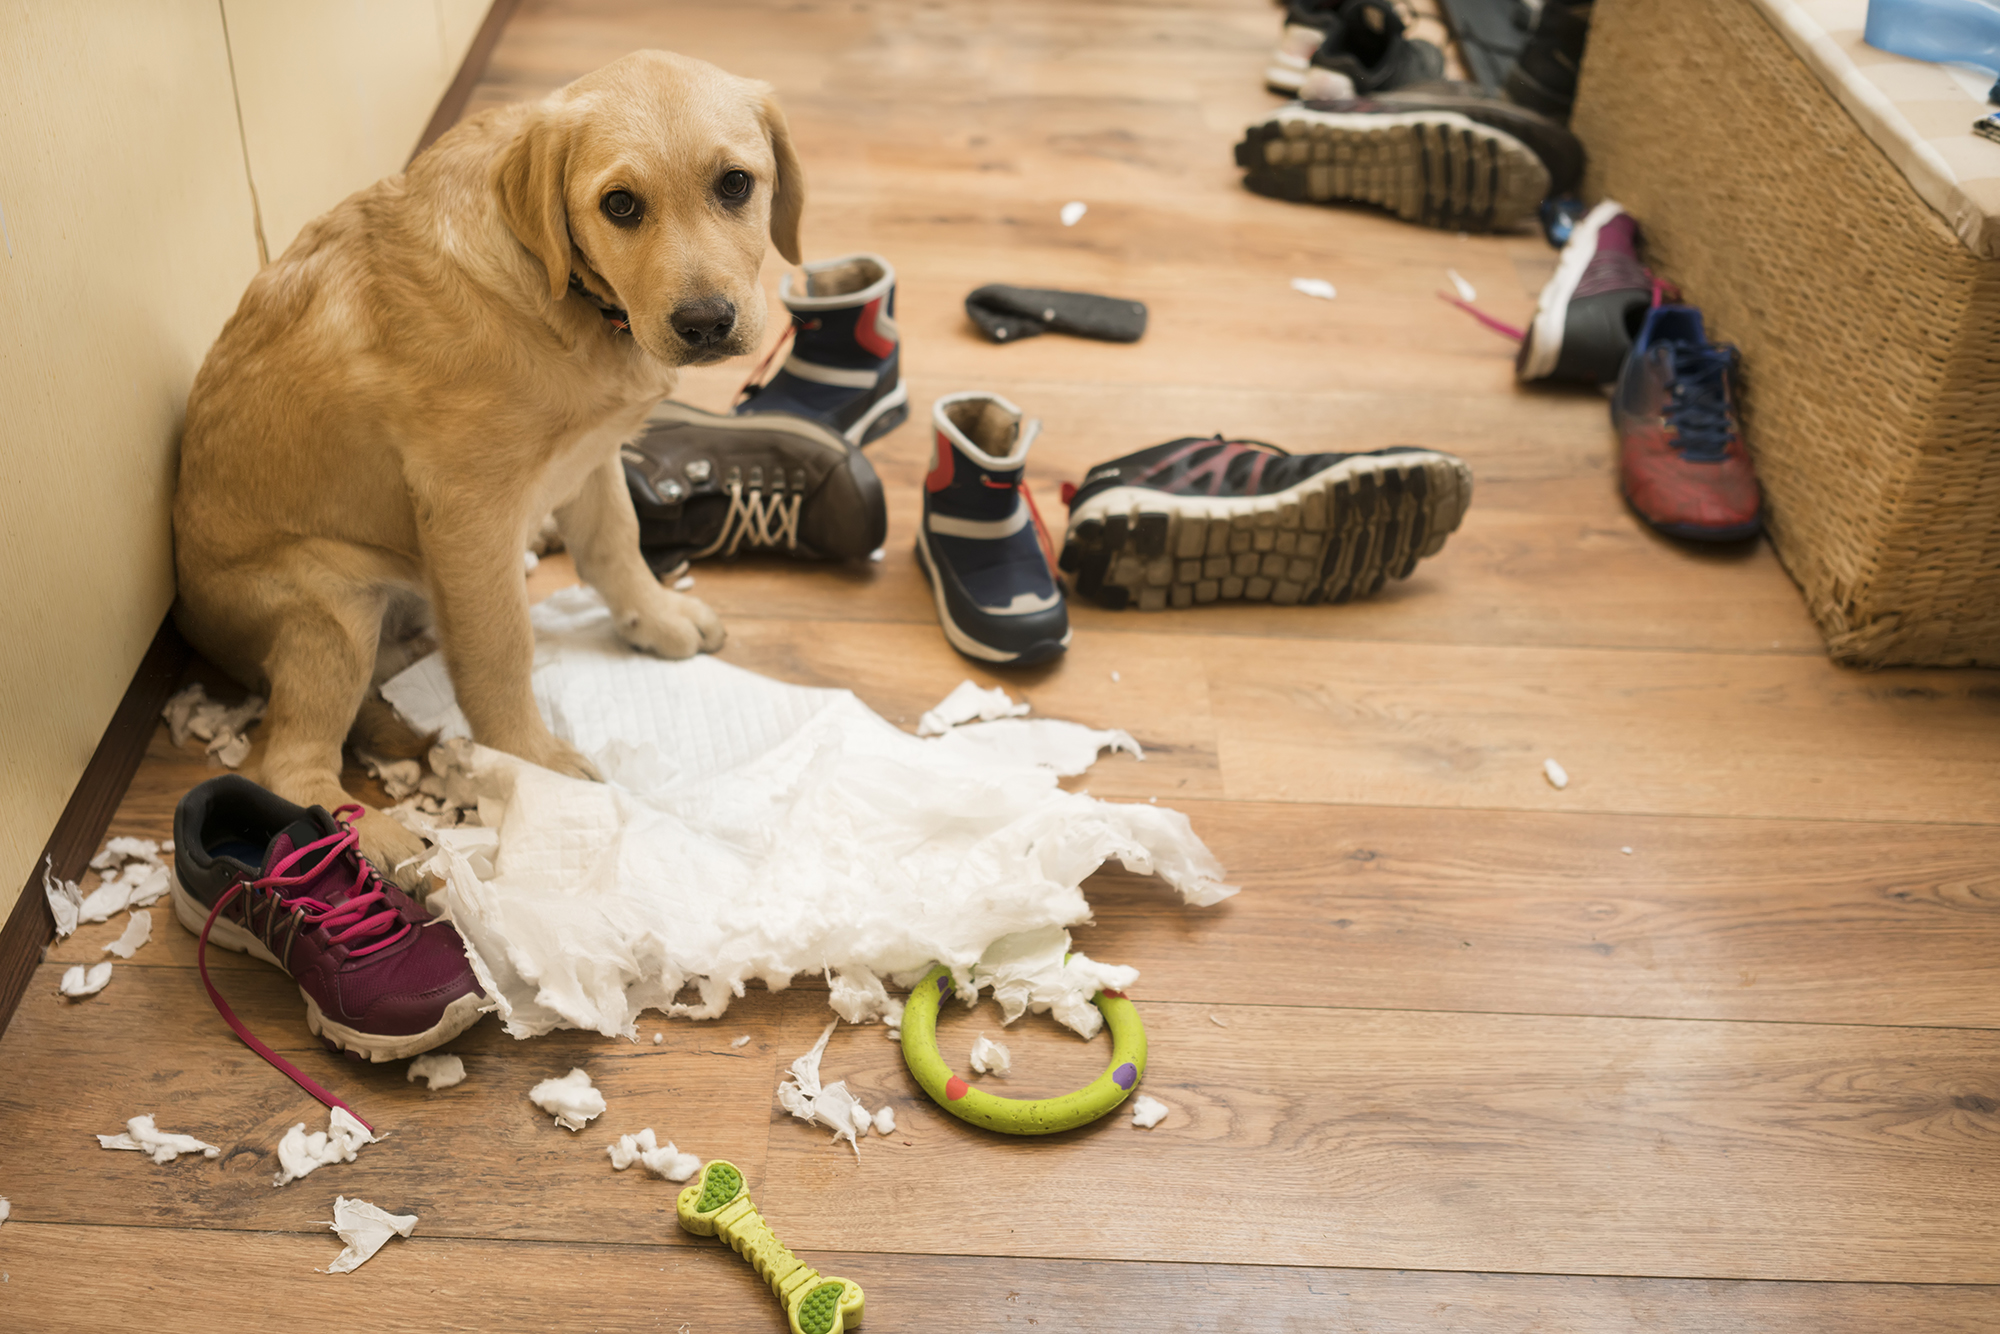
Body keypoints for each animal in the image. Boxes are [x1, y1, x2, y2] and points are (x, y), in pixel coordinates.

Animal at [172, 49, 796, 876]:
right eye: (620, 205)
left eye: (735, 184)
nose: (704, 324)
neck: (564, 296)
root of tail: (192, 622)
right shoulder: (468, 509)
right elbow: (500, 647)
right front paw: (530, 763)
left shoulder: (591, 454)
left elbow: (616, 545)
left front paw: (654, 617)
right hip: (330, 606)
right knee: (288, 762)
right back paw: (377, 841)